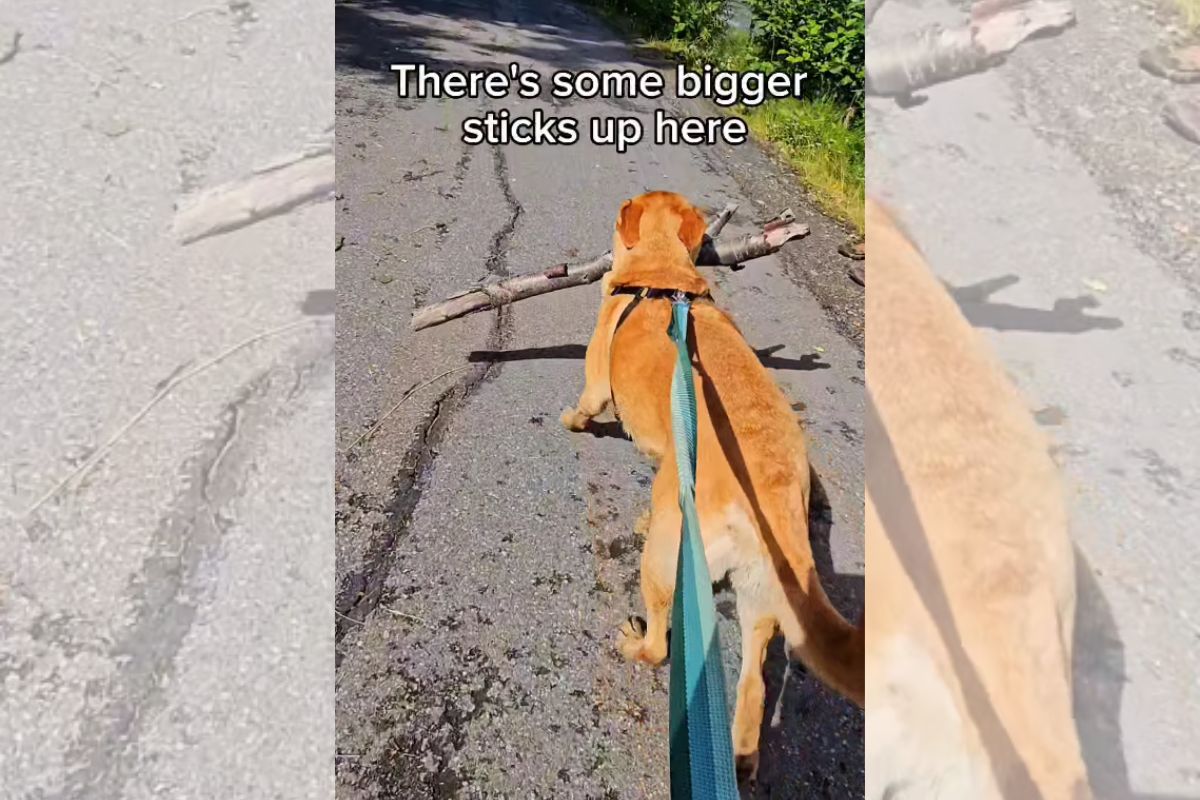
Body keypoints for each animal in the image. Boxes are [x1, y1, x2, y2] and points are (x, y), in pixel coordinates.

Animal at [561, 190, 864, 777]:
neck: (663, 276)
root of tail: (773, 498)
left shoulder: (596, 382)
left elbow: (585, 407)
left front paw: (568, 421)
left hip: (666, 554)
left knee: (662, 645)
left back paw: (637, 642)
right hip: (761, 598)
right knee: (754, 688)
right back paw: (741, 759)